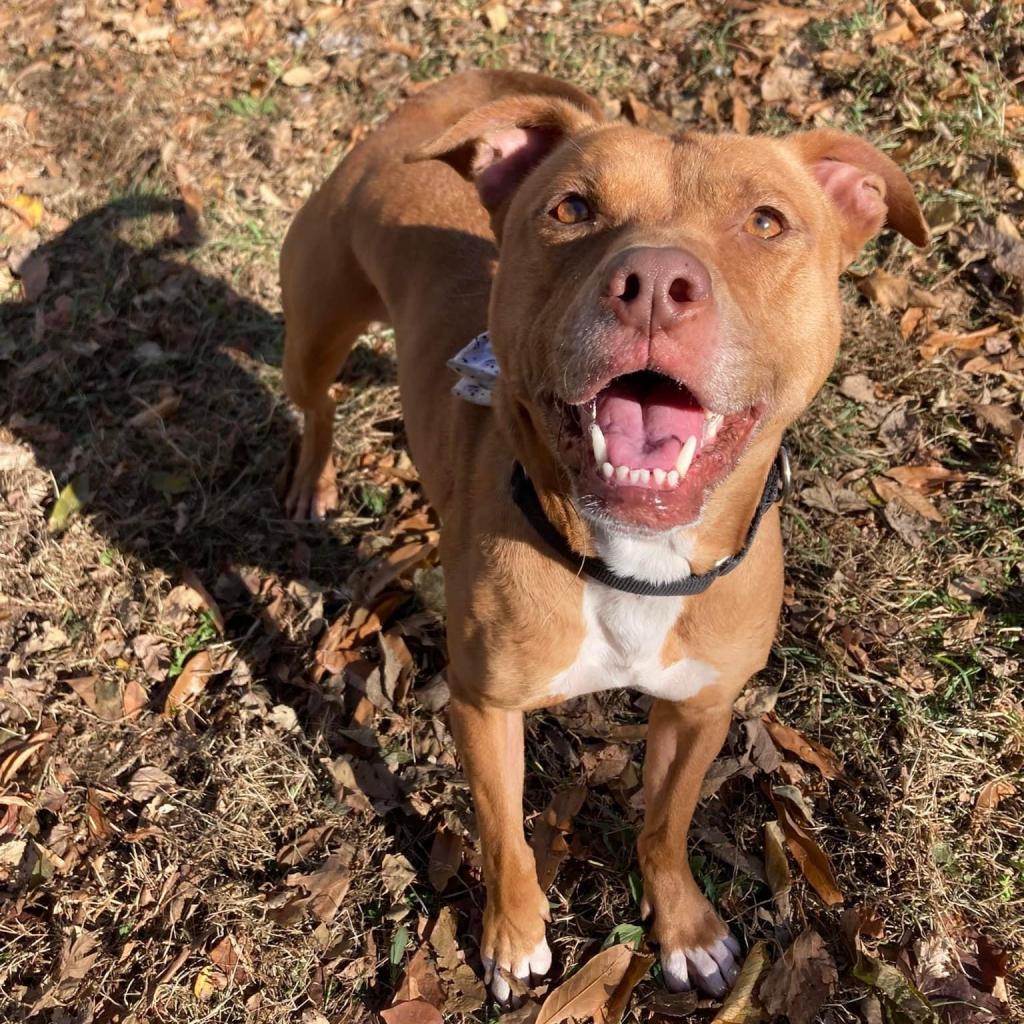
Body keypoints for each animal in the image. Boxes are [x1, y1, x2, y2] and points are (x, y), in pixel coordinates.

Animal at [280, 70, 929, 999]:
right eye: (572, 208)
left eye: (767, 221)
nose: (653, 281)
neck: (635, 566)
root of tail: (413, 118)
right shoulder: (483, 707)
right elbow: (505, 837)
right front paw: (514, 937)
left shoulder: (700, 708)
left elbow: (665, 824)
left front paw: (685, 928)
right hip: (315, 328)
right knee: (319, 401)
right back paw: (314, 478)